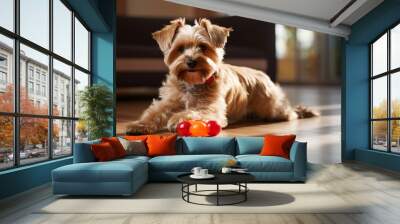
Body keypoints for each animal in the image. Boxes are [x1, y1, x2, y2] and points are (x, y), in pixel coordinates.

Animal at [126, 18, 318, 134]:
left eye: (203, 47)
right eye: (180, 49)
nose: (191, 62)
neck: (192, 83)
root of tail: (262, 74)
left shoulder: (210, 108)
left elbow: (195, 111)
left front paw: (178, 118)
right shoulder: (169, 101)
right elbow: (154, 112)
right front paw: (139, 125)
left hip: (272, 107)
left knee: (289, 112)